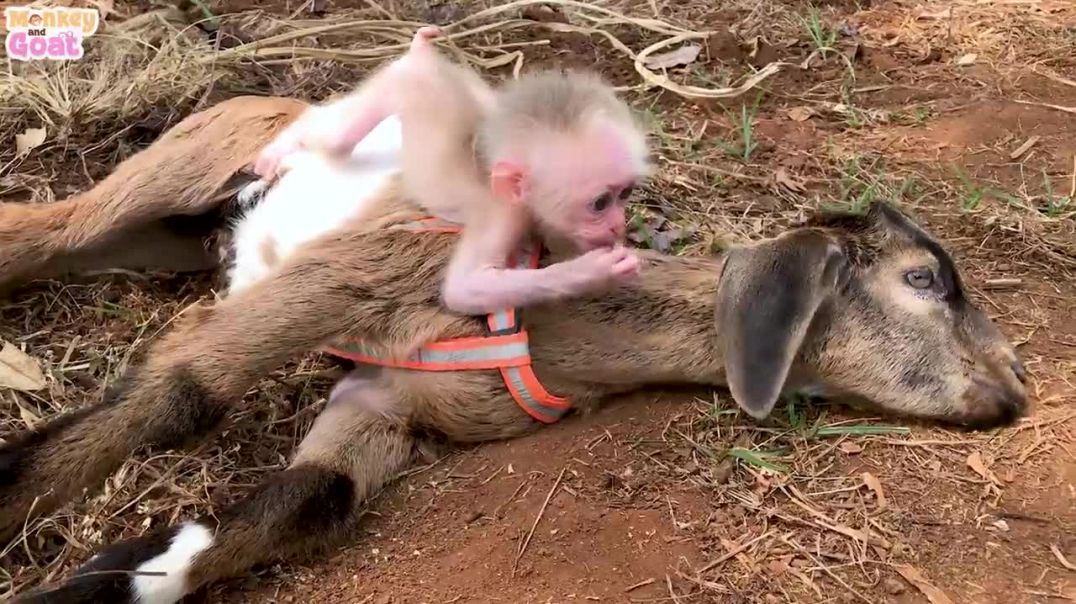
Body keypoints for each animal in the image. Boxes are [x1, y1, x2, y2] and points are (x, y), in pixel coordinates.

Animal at [0, 96, 1027, 603]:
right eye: (925, 280)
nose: (1016, 387)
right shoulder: (341, 279)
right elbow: (186, 391)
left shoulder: (384, 400)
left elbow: (308, 500)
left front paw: (110, 576)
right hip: (181, 164)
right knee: (39, 228)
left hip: (167, 236)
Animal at [253, 27, 653, 316]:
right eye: (599, 203)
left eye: (624, 194)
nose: (618, 224)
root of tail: (425, 60)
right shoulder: (501, 215)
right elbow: (464, 291)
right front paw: (593, 272)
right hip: (398, 81)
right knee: (336, 141)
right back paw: (284, 146)